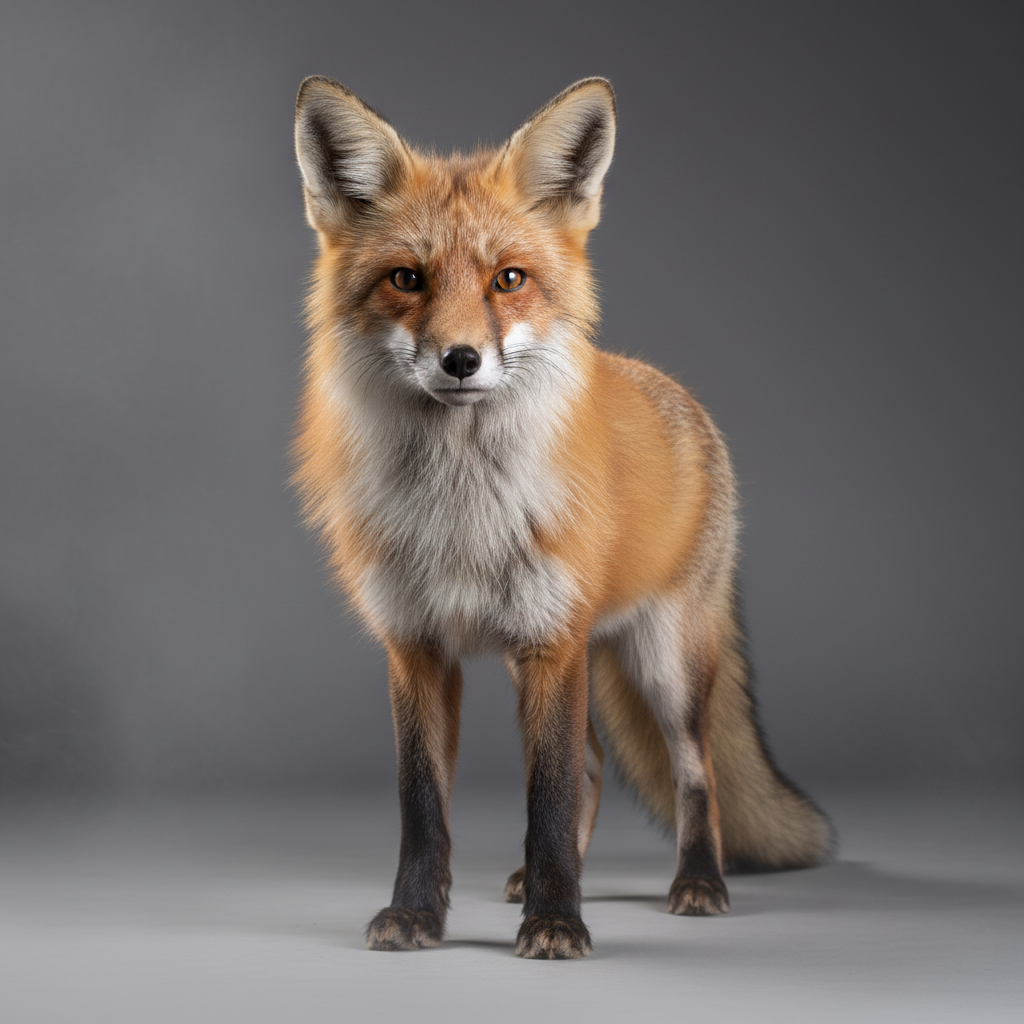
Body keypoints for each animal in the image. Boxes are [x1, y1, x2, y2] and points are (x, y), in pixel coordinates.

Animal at [292, 76, 834, 959]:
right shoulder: (418, 647)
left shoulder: (555, 640)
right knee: (593, 763)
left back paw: (699, 883)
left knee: (694, 772)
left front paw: (556, 922)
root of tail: (669, 386)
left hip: (662, 661)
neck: (461, 508)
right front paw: (419, 913)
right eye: (407, 278)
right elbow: (423, 805)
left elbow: (544, 799)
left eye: (509, 280)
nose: (461, 360)